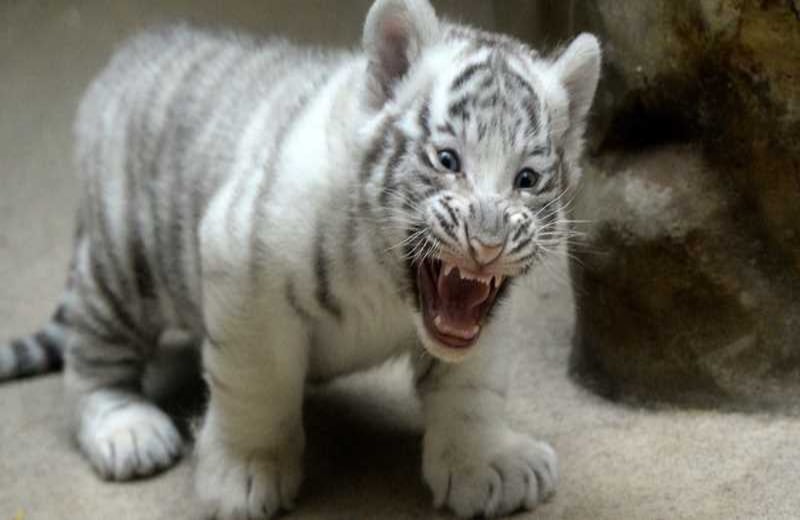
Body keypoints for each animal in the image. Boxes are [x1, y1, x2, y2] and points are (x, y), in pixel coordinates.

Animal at [0, 0, 600, 517]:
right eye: (448, 159)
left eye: (527, 179)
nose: (489, 240)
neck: (390, 286)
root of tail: (128, 54)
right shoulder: (242, 264)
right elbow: (256, 383)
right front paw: (243, 475)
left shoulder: (483, 319)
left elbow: (472, 387)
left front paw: (488, 466)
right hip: (124, 267)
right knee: (90, 360)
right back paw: (127, 431)